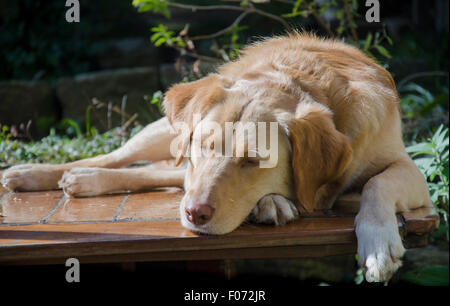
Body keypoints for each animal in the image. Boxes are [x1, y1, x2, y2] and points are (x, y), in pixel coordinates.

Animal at [0, 32, 432, 282]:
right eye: (204, 145)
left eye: (254, 161)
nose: (195, 214)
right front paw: (274, 202)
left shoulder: (412, 170)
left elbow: (377, 182)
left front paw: (377, 242)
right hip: (162, 134)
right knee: (121, 158)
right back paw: (41, 173)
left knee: (158, 175)